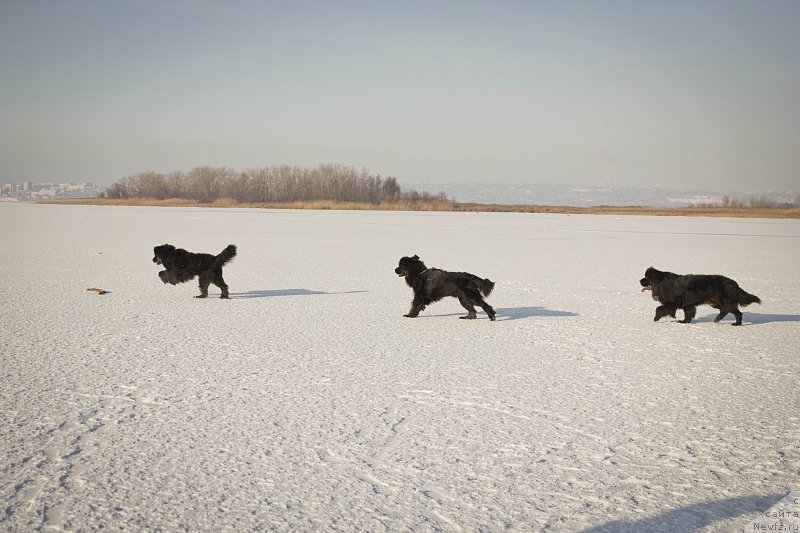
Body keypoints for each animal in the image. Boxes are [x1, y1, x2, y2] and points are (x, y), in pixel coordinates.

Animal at [636, 266, 764, 324]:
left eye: (646, 278)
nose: (639, 280)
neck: (661, 282)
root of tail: (734, 284)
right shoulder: (687, 304)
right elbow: (688, 313)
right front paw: (684, 321)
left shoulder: (672, 303)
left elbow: (659, 309)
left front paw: (656, 318)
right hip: (714, 302)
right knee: (724, 310)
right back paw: (716, 319)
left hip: (724, 300)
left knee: (736, 312)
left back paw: (736, 324)